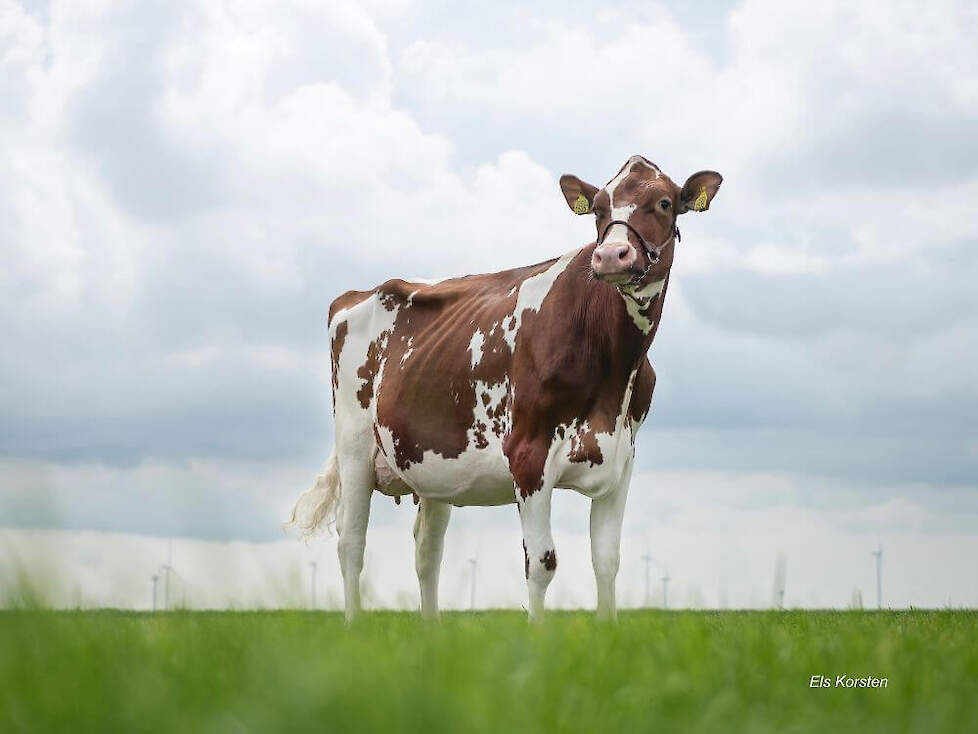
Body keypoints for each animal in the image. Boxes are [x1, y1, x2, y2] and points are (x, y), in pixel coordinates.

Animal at [286, 155, 720, 620]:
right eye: (599, 209)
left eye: (663, 202)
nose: (610, 255)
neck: (613, 364)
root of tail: (359, 293)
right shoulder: (528, 456)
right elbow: (542, 562)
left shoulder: (621, 461)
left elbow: (607, 560)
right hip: (353, 446)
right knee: (351, 544)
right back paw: (353, 625)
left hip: (432, 464)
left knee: (426, 552)